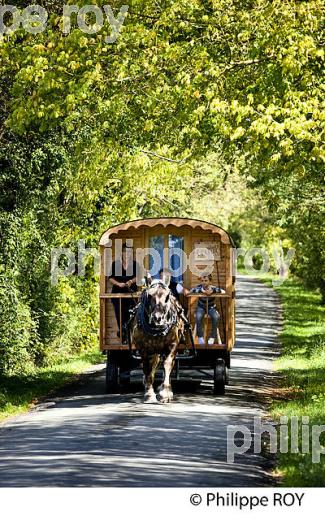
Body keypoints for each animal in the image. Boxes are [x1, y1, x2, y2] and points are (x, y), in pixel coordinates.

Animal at [128, 274, 185, 404]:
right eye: (149, 296)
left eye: (167, 296)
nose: (158, 318)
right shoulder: (143, 348)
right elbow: (147, 369)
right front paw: (149, 394)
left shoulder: (172, 345)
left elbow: (167, 365)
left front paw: (165, 393)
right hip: (154, 350)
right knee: (153, 365)